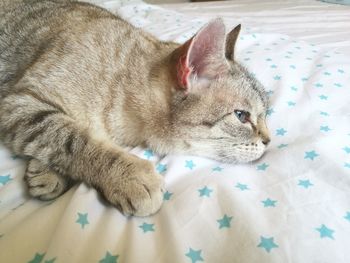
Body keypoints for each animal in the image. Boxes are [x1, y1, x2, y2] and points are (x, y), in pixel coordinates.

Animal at [0, 0, 270, 218]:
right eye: (242, 116)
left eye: (265, 114)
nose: (269, 141)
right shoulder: (20, 102)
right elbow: (72, 138)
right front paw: (132, 177)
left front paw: (46, 172)